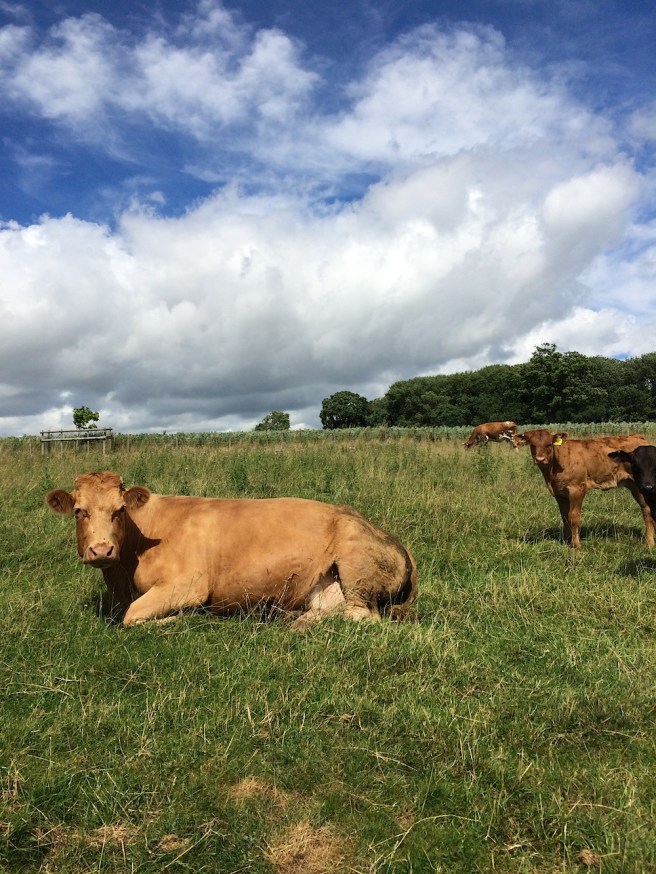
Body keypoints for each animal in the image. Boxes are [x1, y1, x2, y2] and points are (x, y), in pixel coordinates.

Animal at [46, 471, 418, 629]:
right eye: (79, 511)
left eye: (119, 510)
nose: (101, 550)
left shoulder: (188, 585)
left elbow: (131, 617)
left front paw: (184, 618)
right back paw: (289, 619)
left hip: (356, 568)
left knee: (361, 616)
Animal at [514, 429, 655, 550]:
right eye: (532, 445)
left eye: (549, 444)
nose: (540, 459)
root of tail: (637, 437)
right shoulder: (560, 494)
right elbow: (564, 517)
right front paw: (567, 542)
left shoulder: (577, 489)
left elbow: (573, 517)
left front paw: (576, 547)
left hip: (639, 485)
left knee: (647, 510)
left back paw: (649, 542)